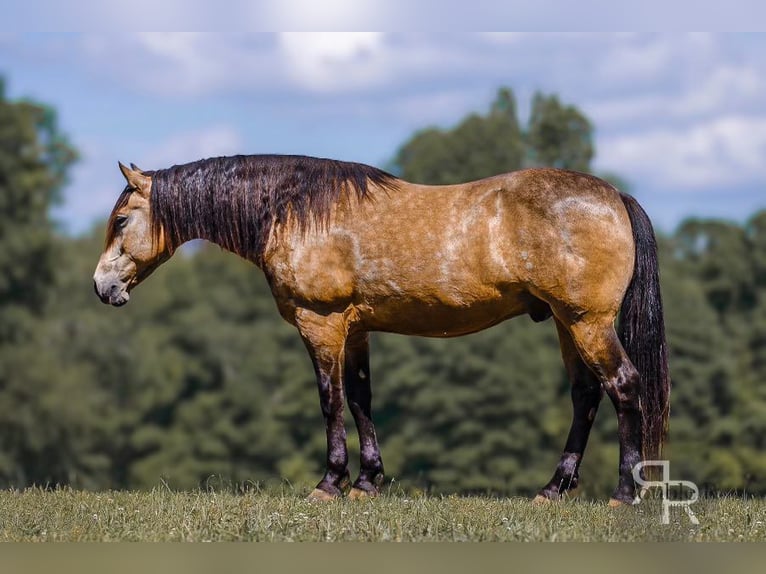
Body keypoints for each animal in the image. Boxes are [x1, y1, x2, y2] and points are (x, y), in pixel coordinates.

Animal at [93, 155, 672, 506]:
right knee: (586, 395)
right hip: (566, 324)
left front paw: (330, 482)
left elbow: (329, 399)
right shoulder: (356, 330)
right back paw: (553, 489)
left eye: (121, 221)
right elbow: (361, 398)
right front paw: (368, 481)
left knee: (624, 387)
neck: (298, 211)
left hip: (586, 323)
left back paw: (624, 492)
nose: (101, 287)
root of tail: (615, 197)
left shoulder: (321, 323)